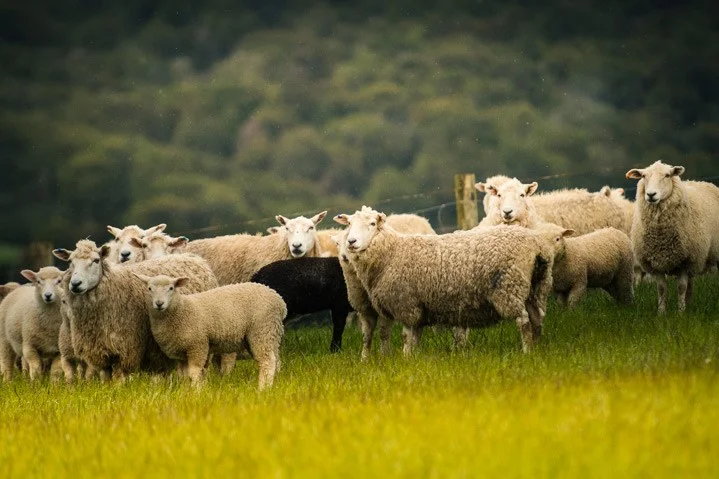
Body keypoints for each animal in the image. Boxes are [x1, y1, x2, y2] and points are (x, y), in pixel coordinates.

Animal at [52, 240, 219, 380]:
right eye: (70, 262)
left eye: (96, 260)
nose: (75, 284)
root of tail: (196, 259)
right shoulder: (100, 349)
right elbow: (105, 377)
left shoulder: (125, 346)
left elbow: (119, 377)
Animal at [134, 274, 285, 389]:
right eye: (149, 288)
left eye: (171, 288)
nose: (159, 303)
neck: (181, 310)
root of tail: (278, 300)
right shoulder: (181, 353)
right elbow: (183, 375)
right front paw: (185, 391)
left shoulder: (198, 345)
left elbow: (194, 372)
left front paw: (196, 391)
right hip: (271, 334)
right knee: (276, 360)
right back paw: (276, 384)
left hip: (261, 330)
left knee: (267, 362)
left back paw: (263, 388)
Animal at [335, 206, 554, 355]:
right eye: (349, 225)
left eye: (372, 224)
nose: (351, 242)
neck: (392, 252)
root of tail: (536, 244)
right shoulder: (419, 308)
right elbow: (414, 338)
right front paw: (413, 359)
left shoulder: (406, 304)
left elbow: (406, 337)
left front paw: (405, 359)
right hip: (536, 288)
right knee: (537, 319)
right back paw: (537, 349)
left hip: (510, 287)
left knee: (523, 321)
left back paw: (526, 351)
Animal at [626, 161, 719, 314]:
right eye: (644, 176)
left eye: (667, 175)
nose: (651, 194)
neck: (661, 237)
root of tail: (702, 182)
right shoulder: (656, 263)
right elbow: (662, 289)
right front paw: (661, 312)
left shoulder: (685, 261)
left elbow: (681, 288)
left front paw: (680, 312)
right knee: (690, 284)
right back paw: (689, 304)